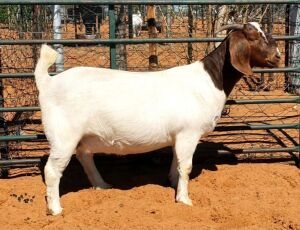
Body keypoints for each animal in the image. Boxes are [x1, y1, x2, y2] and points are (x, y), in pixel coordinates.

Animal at [35, 22, 282, 215]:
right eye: (253, 36)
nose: (278, 56)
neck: (211, 79)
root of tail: (48, 82)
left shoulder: (179, 136)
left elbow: (176, 161)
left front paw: (172, 181)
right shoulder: (189, 133)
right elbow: (187, 166)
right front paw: (184, 199)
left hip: (84, 136)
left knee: (85, 156)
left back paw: (102, 185)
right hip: (63, 135)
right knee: (52, 170)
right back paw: (55, 209)